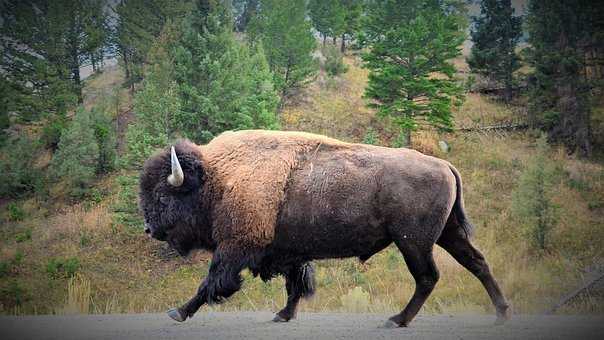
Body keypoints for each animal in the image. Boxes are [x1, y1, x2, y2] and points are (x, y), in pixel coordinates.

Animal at [140, 129, 510, 326]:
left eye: (162, 196)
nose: (149, 228)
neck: (218, 178)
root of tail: (444, 164)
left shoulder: (236, 246)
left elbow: (211, 282)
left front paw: (177, 312)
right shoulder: (290, 252)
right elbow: (295, 286)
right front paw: (283, 315)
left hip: (413, 242)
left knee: (428, 277)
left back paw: (396, 320)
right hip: (447, 234)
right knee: (476, 263)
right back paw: (501, 314)